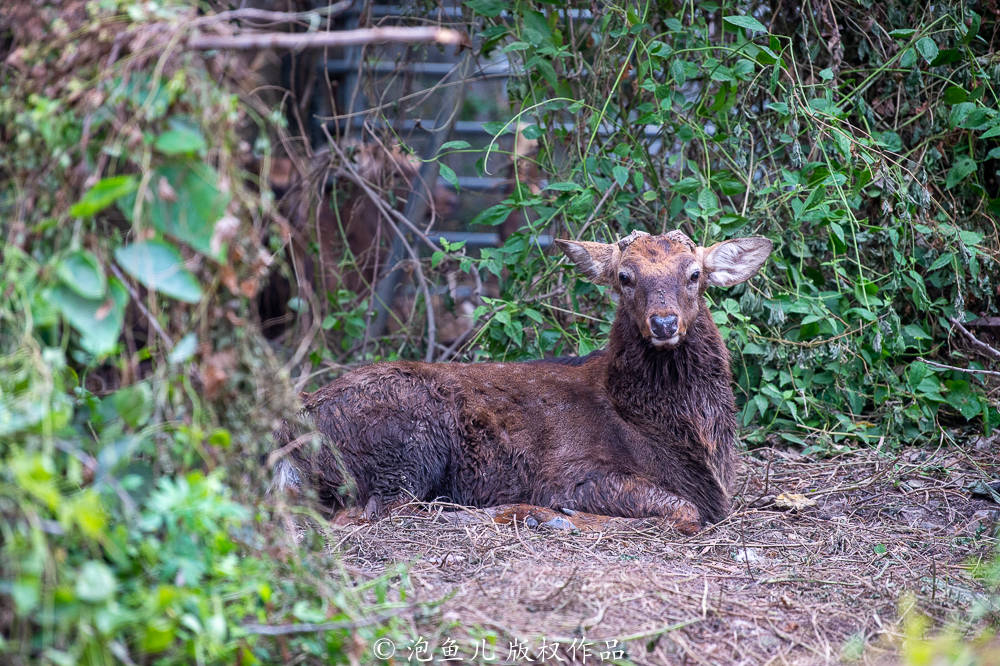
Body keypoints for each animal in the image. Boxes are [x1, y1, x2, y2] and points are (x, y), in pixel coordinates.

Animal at [272, 231, 772, 532]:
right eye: (625, 277)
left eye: (694, 274)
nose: (664, 323)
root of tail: (291, 428)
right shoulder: (574, 472)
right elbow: (683, 510)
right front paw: (565, 515)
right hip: (407, 443)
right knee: (373, 513)